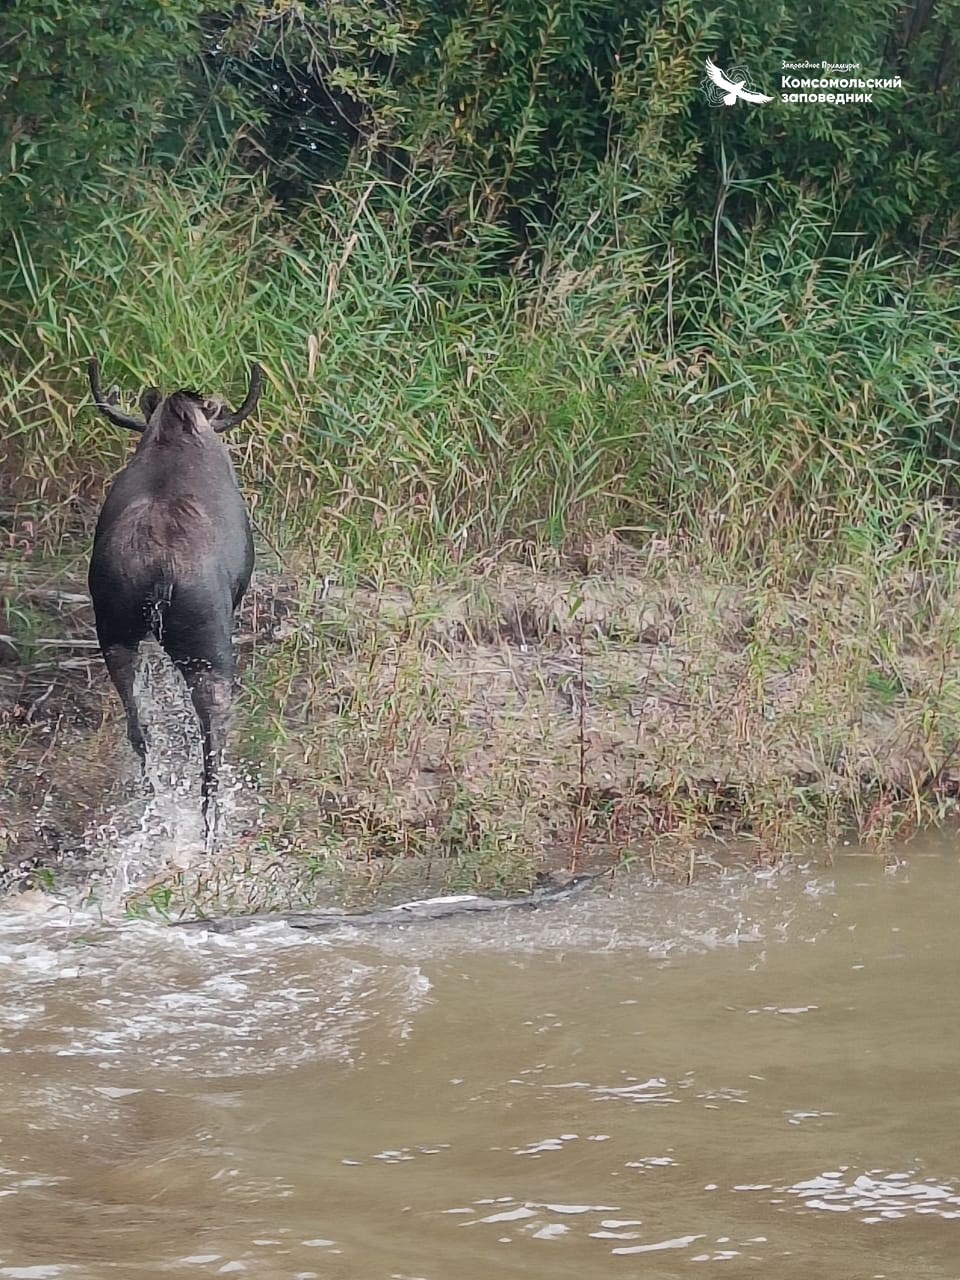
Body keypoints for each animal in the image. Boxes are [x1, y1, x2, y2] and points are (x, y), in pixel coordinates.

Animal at [86, 355, 263, 844]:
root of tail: (159, 578)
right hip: (209, 650)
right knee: (210, 744)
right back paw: (208, 831)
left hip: (114, 634)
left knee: (138, 727)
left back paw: (153, 801)